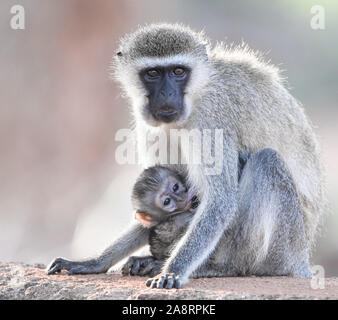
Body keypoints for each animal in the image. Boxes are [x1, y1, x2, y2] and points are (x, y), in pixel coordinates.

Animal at [46, 23, 324, 290]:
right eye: (153, 73)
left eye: (178, 71)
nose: (167, 94)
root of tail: (301, 258)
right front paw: (95, 261)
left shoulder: (211, 117)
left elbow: (220, 200)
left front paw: (173, 270)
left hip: (285, 246)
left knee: (266, 161)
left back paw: (221, 267)